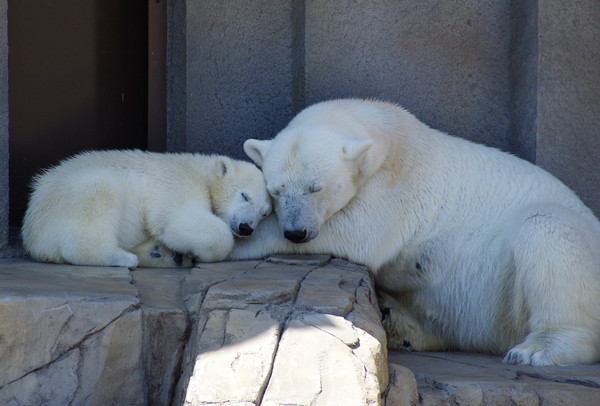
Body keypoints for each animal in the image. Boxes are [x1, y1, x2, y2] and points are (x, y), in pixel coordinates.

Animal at [231, 99, 600, 368]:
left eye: (315, 187)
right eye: (276, 190)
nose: (296, 232)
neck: (388, 132)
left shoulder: (397, 187)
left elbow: (357, 231)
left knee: (546, 227)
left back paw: (537, 349)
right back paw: (397, 322)